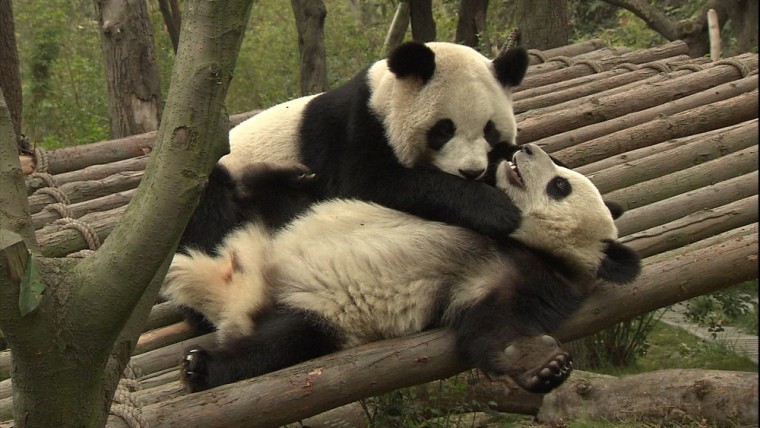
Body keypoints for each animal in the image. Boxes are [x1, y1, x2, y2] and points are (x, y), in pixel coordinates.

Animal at [163, 144, 640, 394]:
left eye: (560, 186)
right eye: (561, 171)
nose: (526, 148)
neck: (518, 239)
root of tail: (243, 287)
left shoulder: (524, 276)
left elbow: (493, 325)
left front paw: (543, 366)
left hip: (319, 313)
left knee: (279, 343)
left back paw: (201, 366)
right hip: (272, 222)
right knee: (234, 205)